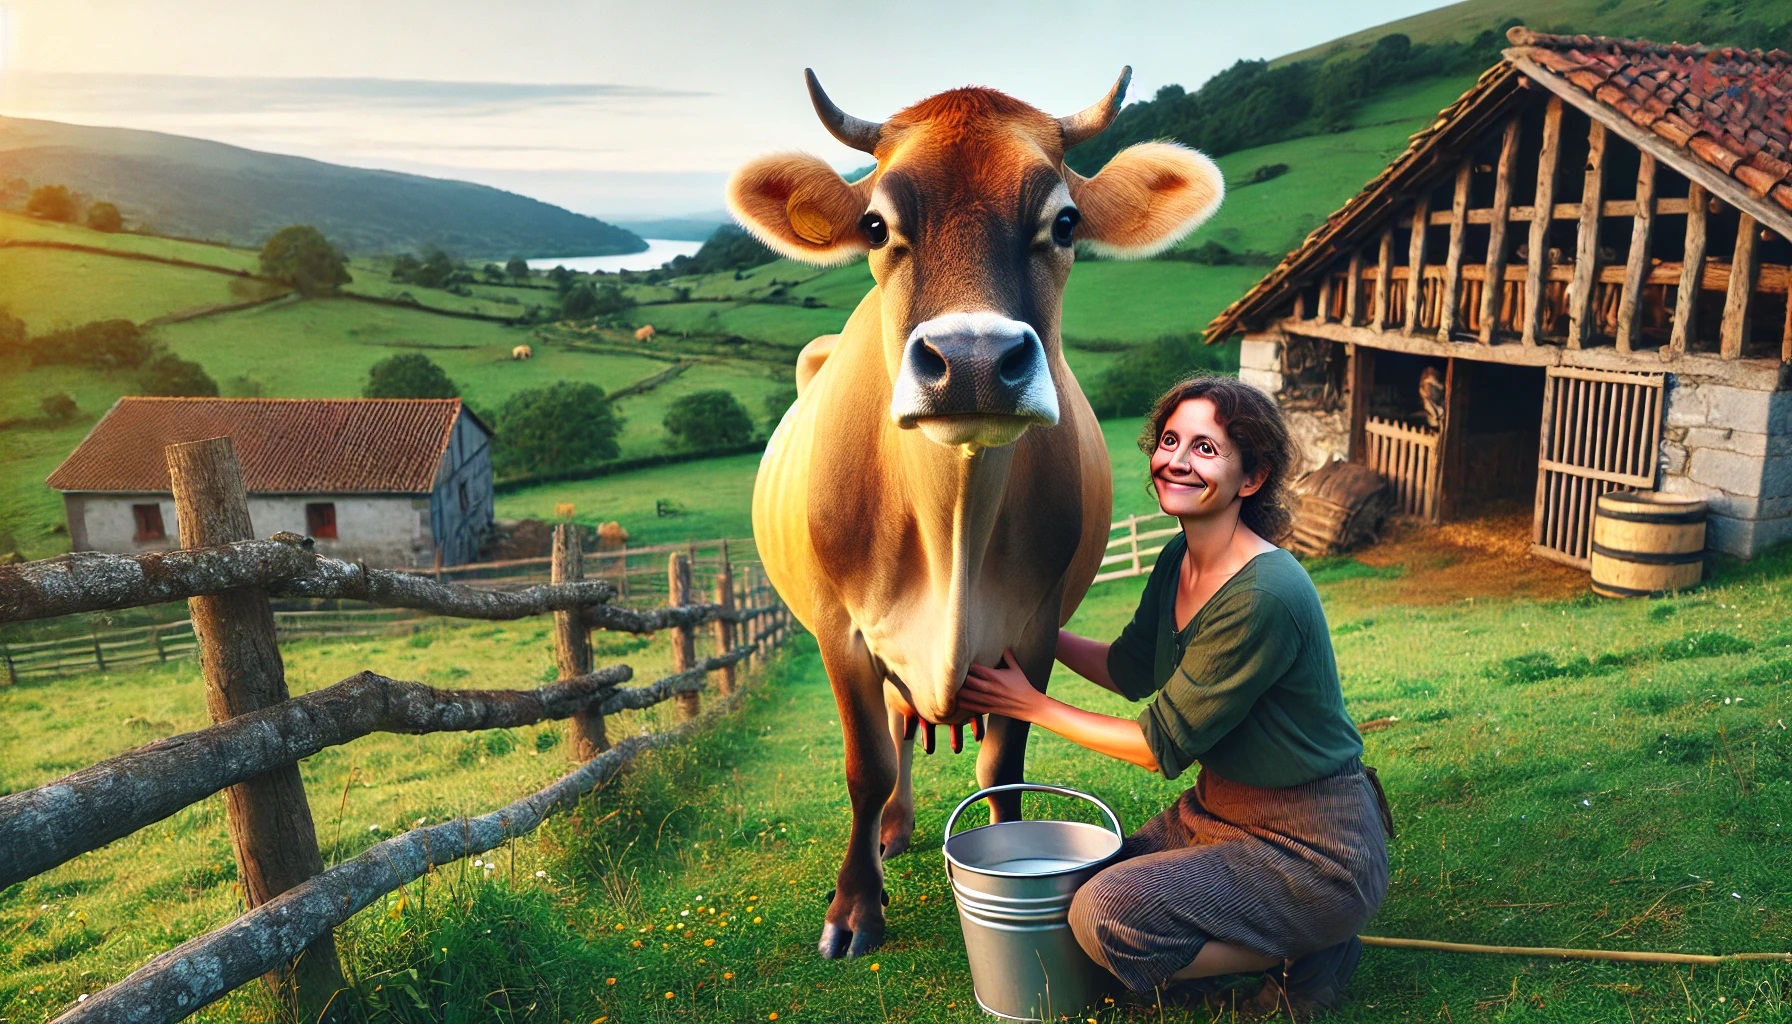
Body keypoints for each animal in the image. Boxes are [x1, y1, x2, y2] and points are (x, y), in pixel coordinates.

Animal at [727, 72, 1218, 961]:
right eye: (876, 225)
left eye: (1064, 221)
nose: (975, 363)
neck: (950, 525)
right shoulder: (838, 627)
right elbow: (867, 767)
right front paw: (854, 908)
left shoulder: (1033, 624)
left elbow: (1004, 764)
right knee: (894, 736)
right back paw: (892, 834)